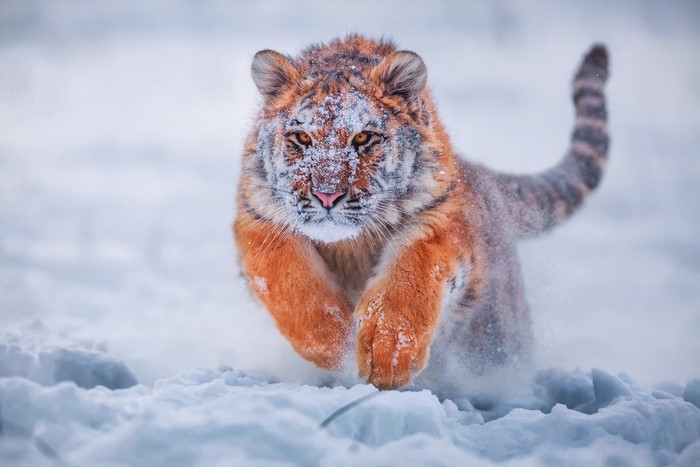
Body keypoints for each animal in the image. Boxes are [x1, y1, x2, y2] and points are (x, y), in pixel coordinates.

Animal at [233, 35, 609, 390]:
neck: (350, 245)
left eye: (363, 138)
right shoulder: (259, 221)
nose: (328, 195)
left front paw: (387, 356)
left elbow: (408, 277)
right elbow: (292, 285)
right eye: (301, 138)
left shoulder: (437, 221)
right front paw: (337, 343)